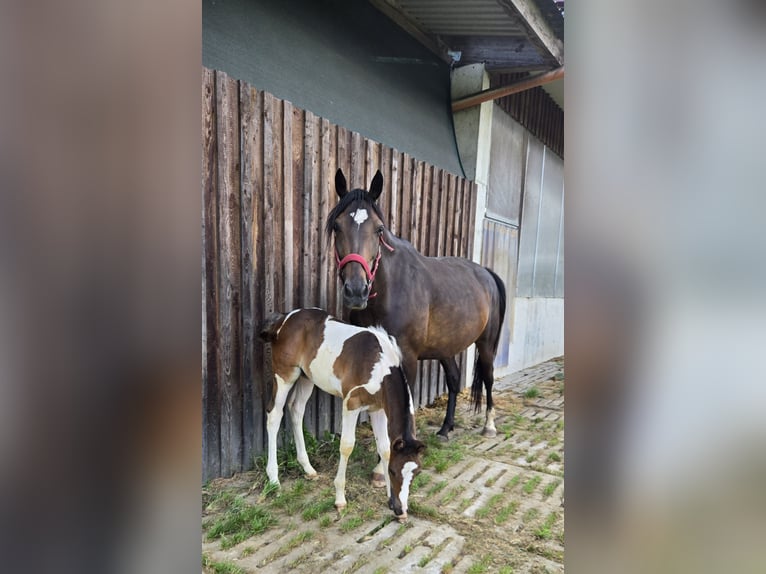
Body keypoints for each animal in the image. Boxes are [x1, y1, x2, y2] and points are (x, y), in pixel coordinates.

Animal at [258, 310, 426, 520]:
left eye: (416, 473)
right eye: (393, 471)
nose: (400, 509)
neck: (379, 366)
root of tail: (284, 319)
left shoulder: (377, 409)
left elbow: (385, 448)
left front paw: (389, 497)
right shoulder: (351, 404)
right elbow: (346, 446)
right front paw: (340, 499)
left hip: (307, 378)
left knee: (296, 410)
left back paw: (308, 468)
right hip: (285, 375)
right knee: (274, 414)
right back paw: (273, 479)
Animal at [328, 170, 508, 464]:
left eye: (379, 229)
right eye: (336, 227)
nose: (356, 291)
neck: (391, 289)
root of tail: (486, 273)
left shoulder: (408, 359)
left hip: (486, 344)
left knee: (489, 377)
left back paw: (489, 426)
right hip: (446, 347)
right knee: (454, 380)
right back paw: (446, 428)